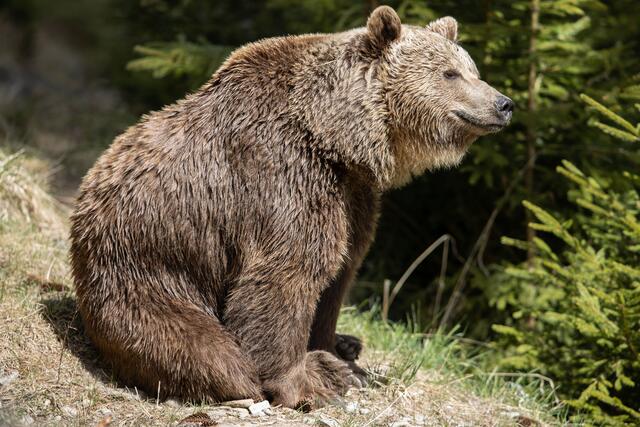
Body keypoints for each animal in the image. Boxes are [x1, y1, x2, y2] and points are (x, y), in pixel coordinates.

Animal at [70, 6, 512, 408]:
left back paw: (348, 348)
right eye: (450, 73)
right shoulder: (282, 177)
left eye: (471, 68)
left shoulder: (353, 197)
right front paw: (305, 382)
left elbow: (339, 273)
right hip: (149, 269)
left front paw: (338, 354)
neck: (337, 139)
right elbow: (286, 273)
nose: (504, 103)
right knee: (203, 348)